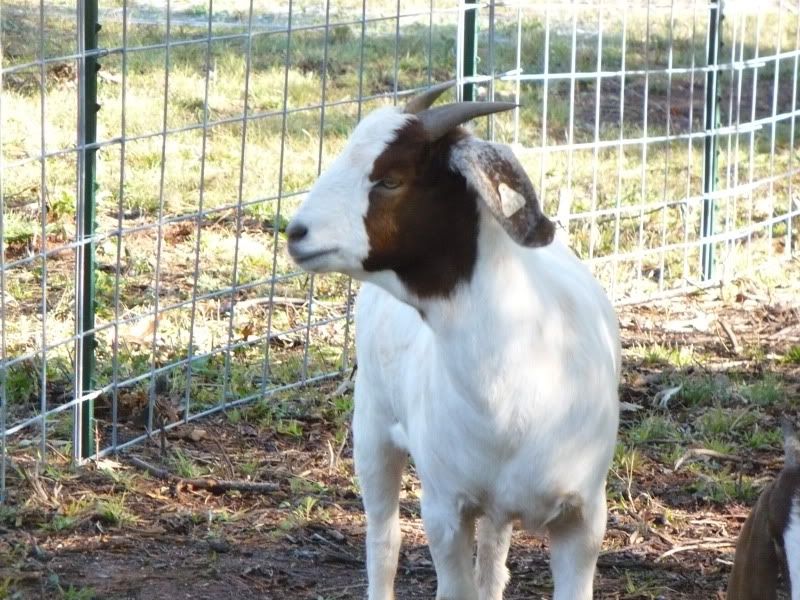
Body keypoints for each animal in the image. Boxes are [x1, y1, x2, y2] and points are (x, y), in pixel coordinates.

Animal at [286, 83, 620, 600]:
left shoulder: (584, 518)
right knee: (384, 540)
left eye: (391, 180)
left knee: (494, 556)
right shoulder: (444, 508)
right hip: (373, 424)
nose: (296, 233)